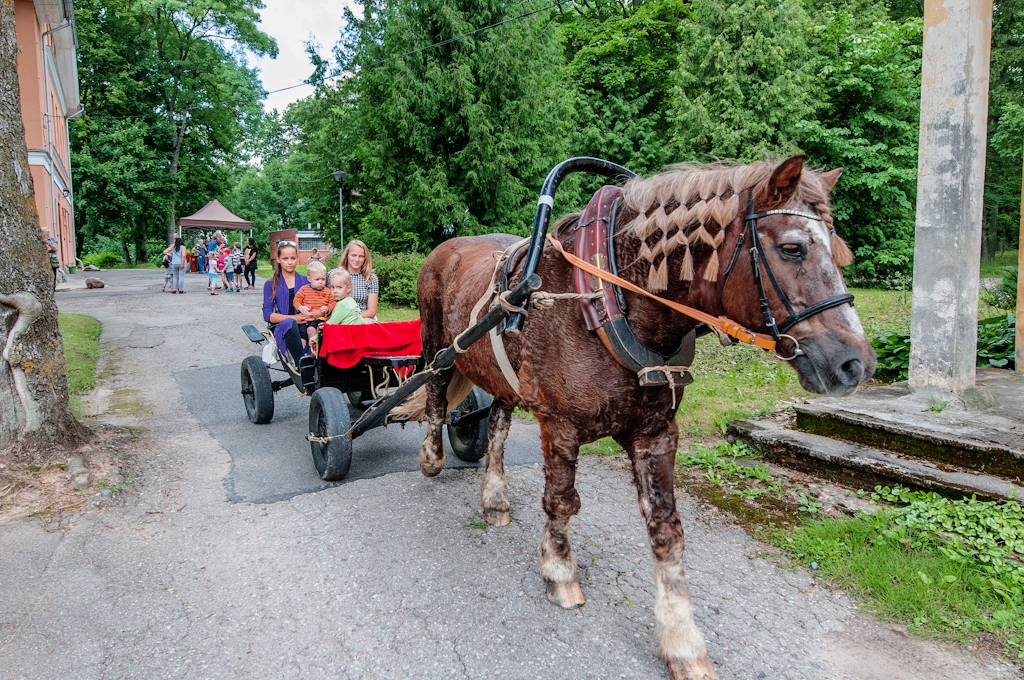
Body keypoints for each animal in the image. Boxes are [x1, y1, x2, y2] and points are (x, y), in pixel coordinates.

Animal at [407, 155, 872, 680]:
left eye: (837, 250)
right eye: (792, 248)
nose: (855, 363)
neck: (607, 301)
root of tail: (446, 246)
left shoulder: (655, 434)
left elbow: (667, 531)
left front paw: (681, 640)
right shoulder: (560, 425)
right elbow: (561, 503)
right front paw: (559, 570)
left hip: (502, 373)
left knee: (500, 426)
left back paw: (494, 497)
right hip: (437, 346)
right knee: (437, 396)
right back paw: (431, 456)